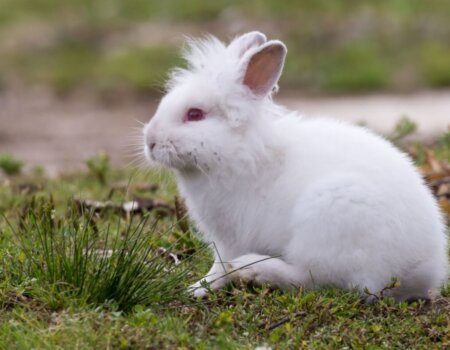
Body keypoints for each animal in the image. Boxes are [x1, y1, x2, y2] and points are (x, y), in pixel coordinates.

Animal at [143, 31, 446, 302]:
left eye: (195, 114)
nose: (150, 141)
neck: (237, 152)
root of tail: (421, 270)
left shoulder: (230, 238)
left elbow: (220, 267)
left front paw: (198, 288)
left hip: (328, 223)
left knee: (316, 279)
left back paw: (255, 270)